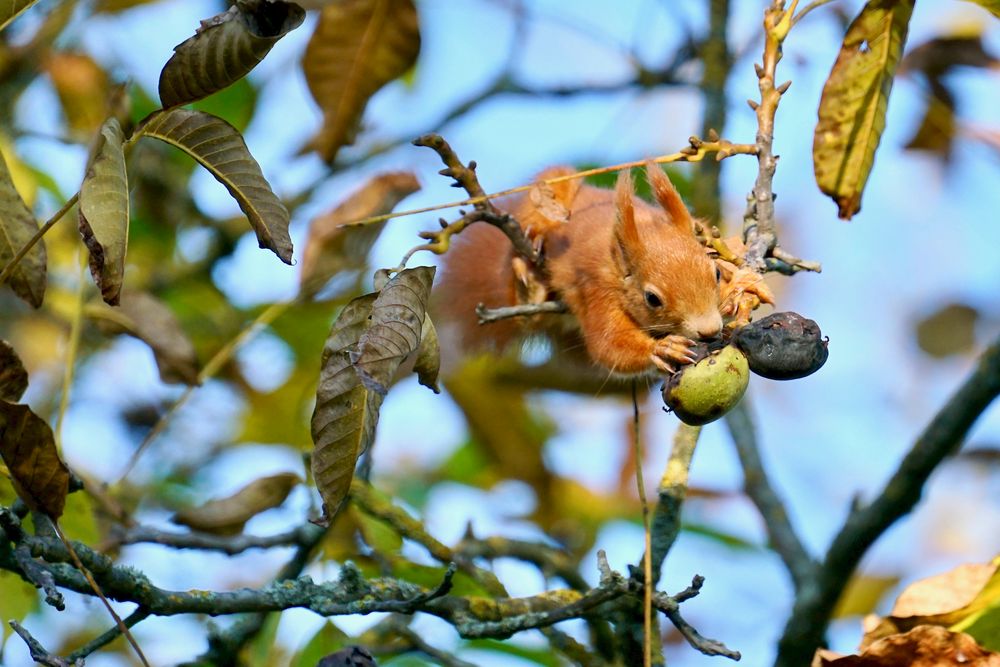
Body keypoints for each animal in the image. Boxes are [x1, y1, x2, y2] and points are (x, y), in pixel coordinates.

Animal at [434, 162, 724, 376]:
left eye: (717, 274)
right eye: (652, 299)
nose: (709, 331)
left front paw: (736, 293)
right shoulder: (598, 287)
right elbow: (608, 344)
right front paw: (662, 349)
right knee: (525, 314)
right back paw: (531, 275)